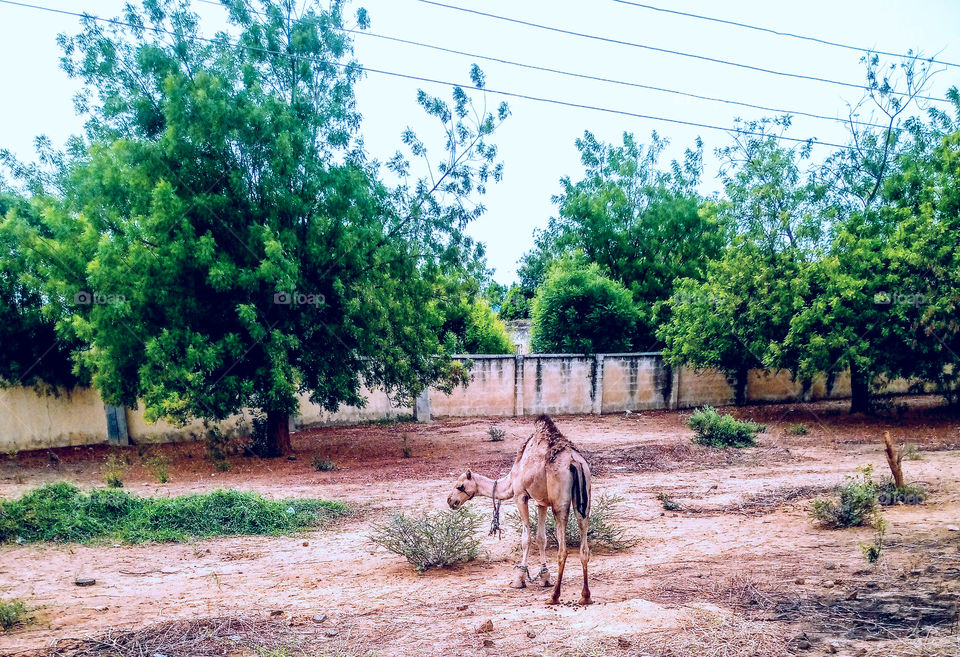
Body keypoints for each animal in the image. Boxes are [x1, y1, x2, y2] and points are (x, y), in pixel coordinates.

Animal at [447, 414, 593, 605]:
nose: (450, 501)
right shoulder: (541, 502)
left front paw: (519, 578)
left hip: (560, 503)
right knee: (584, 545)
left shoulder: (520, 496)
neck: (511, 478)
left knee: (563, 550)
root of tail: (575, 462)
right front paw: (544, 577)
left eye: (460, 486)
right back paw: (585, 596)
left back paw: (554, 596)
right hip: (585, 499)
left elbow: (526, 538)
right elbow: (541, 538)